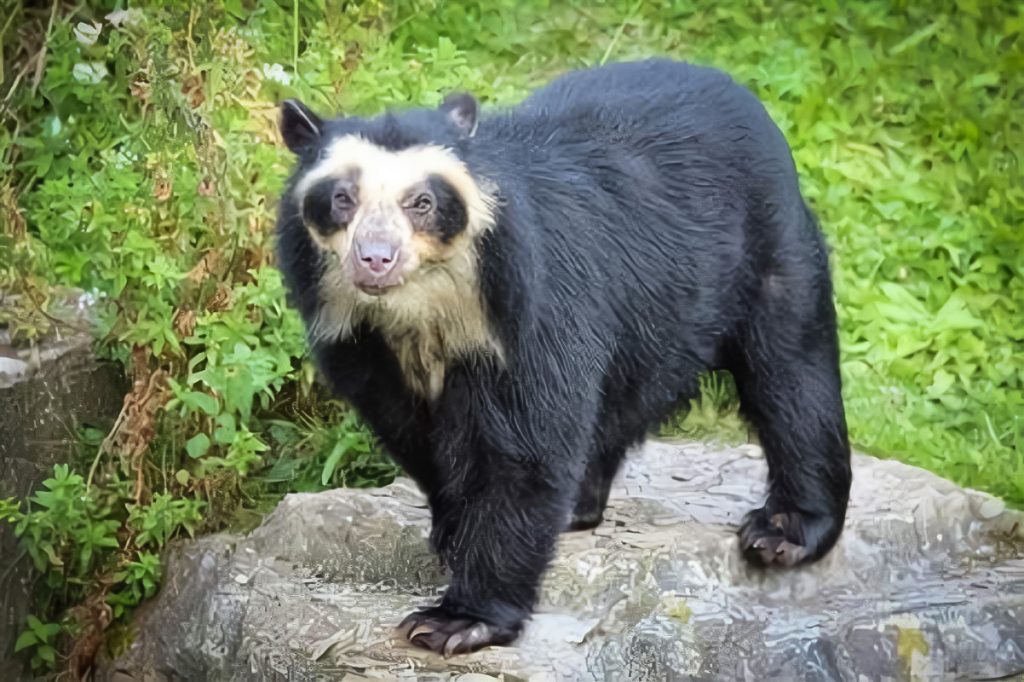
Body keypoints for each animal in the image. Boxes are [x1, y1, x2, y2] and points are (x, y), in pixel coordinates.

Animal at [270, 58, 847, 655]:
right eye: (341, 198)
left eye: (422, 202)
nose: (376, 259)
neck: (422, 310)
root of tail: (738, 91)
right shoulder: (361, 344)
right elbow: (414, 438)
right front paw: (452, 534)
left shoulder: (530, 304)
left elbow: (526, 447)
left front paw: (455, 621)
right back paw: (577, 507)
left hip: (771, 249)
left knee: (792, 374)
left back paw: (784, 530)